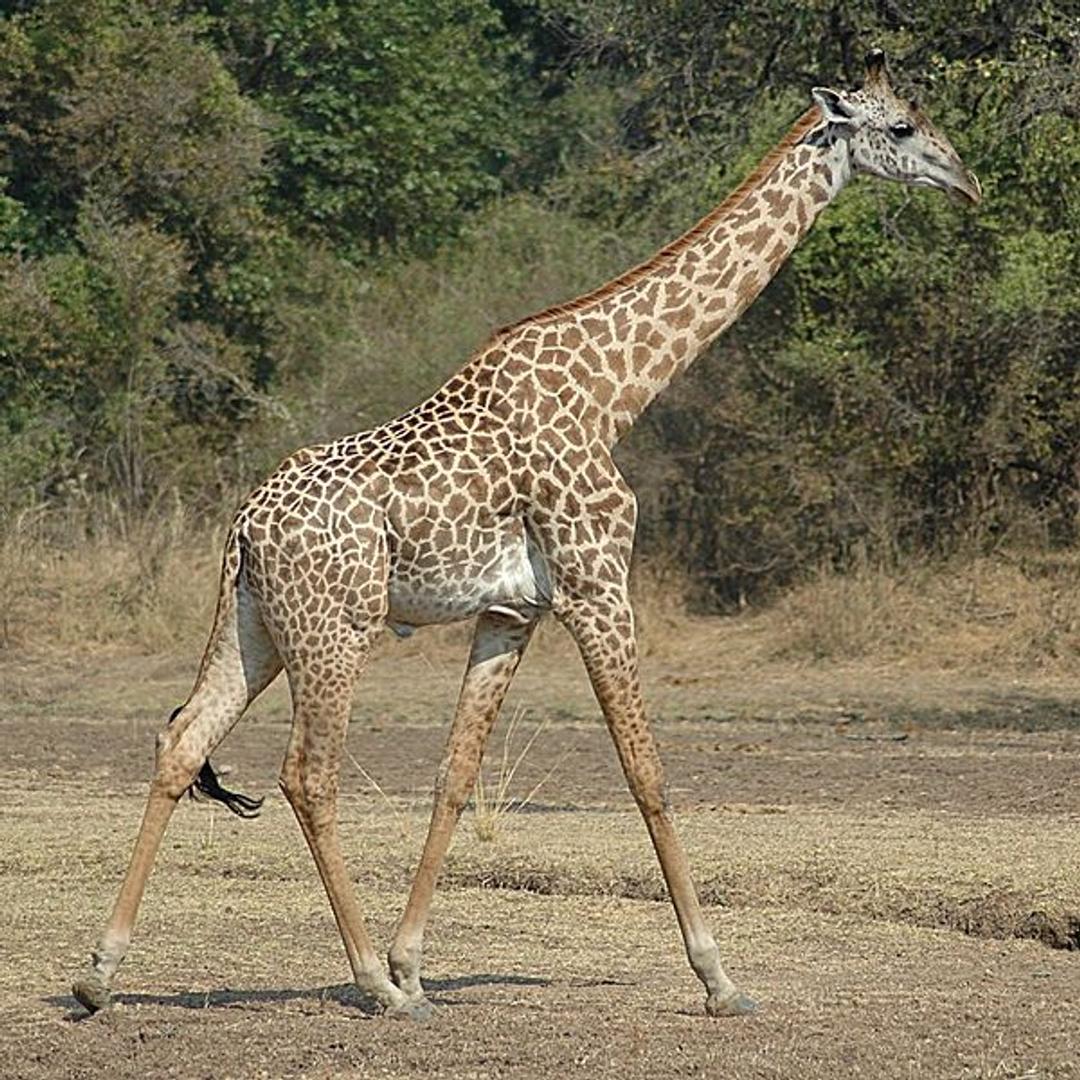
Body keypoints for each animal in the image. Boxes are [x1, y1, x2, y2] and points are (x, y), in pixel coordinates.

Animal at [72, 50, 980, 1021]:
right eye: (901, 126)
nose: (964, 182)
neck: (618, 389)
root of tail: (243, 526)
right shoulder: (597, 582)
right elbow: (646, 771)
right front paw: (720, 978)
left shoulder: (513, 612)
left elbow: (454, 776)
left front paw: (414, 963)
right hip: (333, 630)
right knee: (306, 774)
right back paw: (366, 985)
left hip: (255, 626)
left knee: (182, 743)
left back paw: (100, 975)